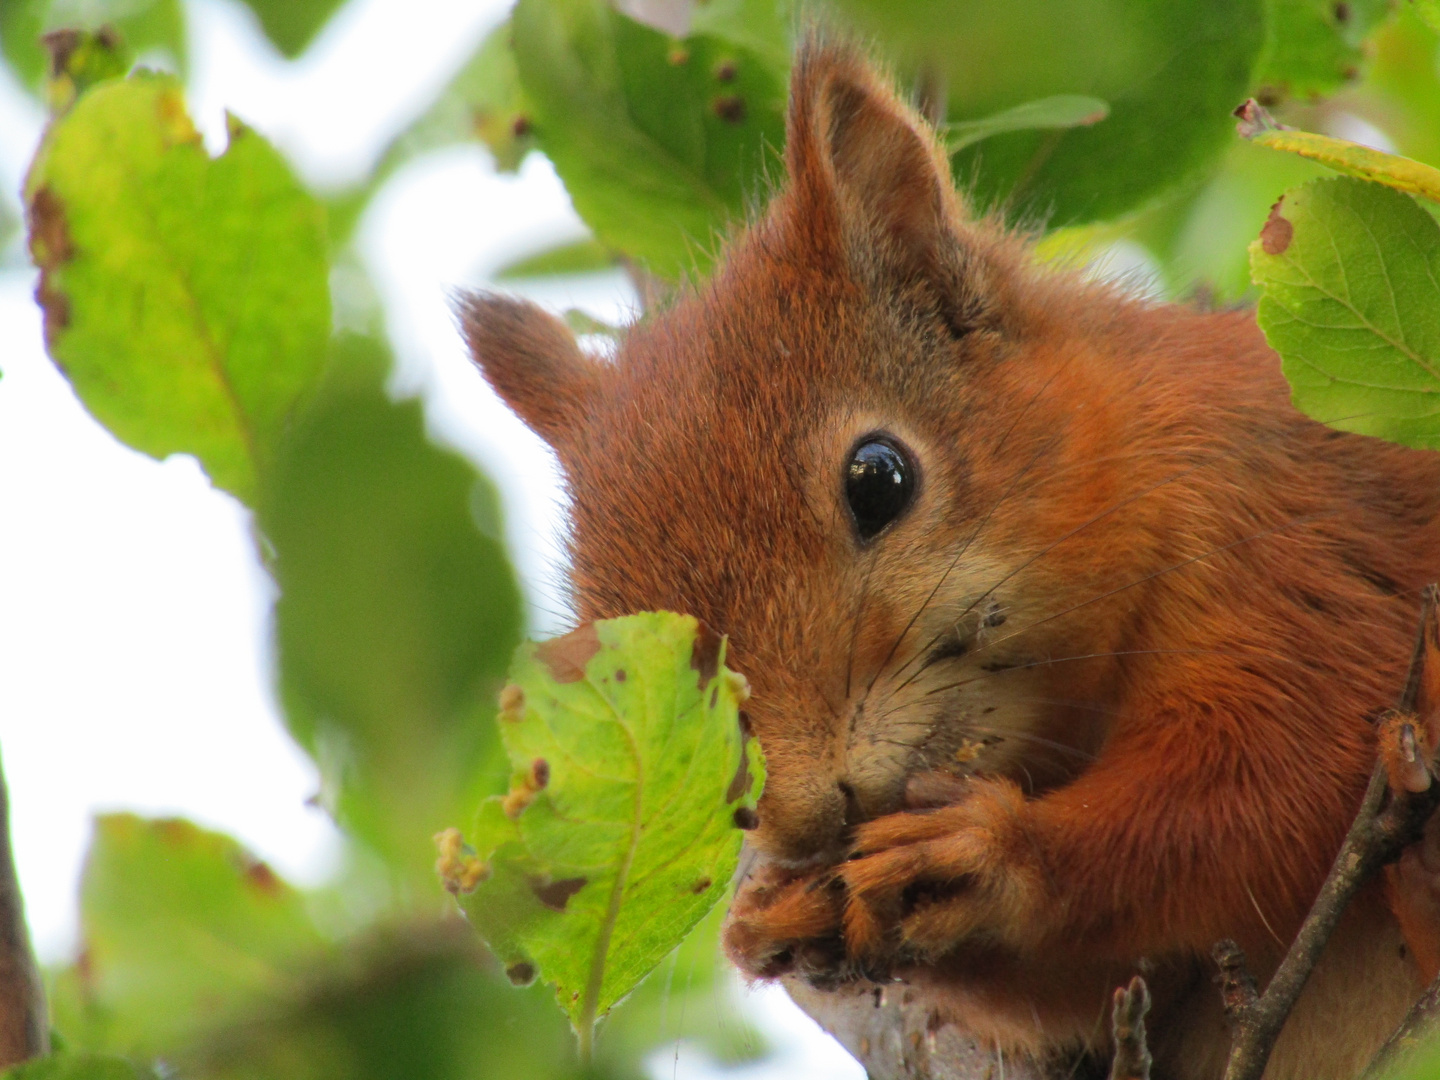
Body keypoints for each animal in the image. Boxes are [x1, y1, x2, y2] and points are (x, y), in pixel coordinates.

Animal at [455, 38, 1440, 1077]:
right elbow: (1095, 978)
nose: (806, 815)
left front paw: (995, 854)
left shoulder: (1298, 544)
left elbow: (1278, 768)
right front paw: (773, 919)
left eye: (880, 479)